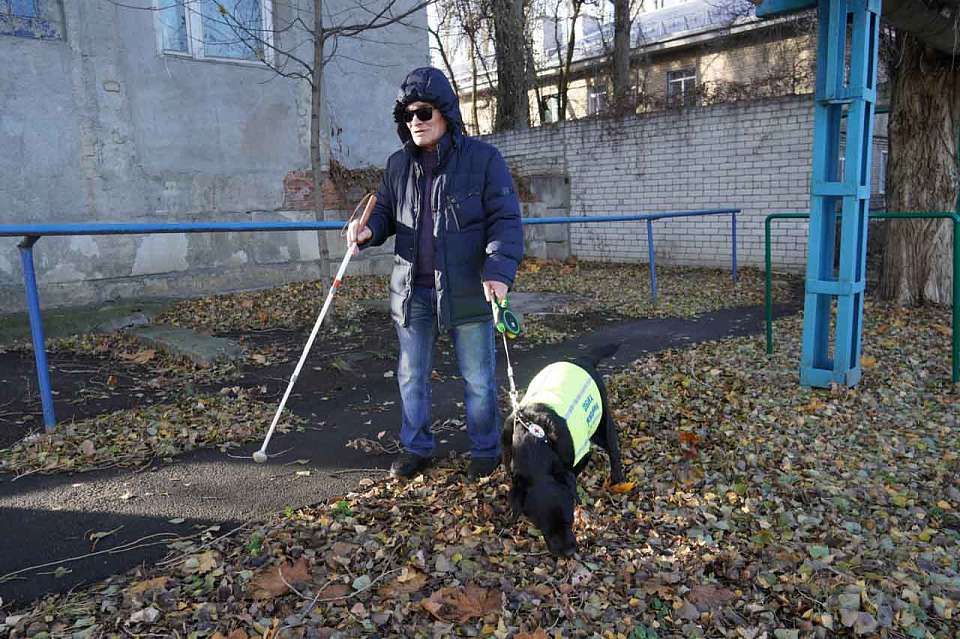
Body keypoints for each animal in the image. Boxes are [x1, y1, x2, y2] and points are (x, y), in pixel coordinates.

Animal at [502, 342, 632, 556]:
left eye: (569, 520)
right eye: (544, 527)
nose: (569, 552)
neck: (533, 442)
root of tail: (582, 359)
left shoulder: (581, 454)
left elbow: (572, 474)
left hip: (601, 422)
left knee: (613, 448)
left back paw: (617, 479)